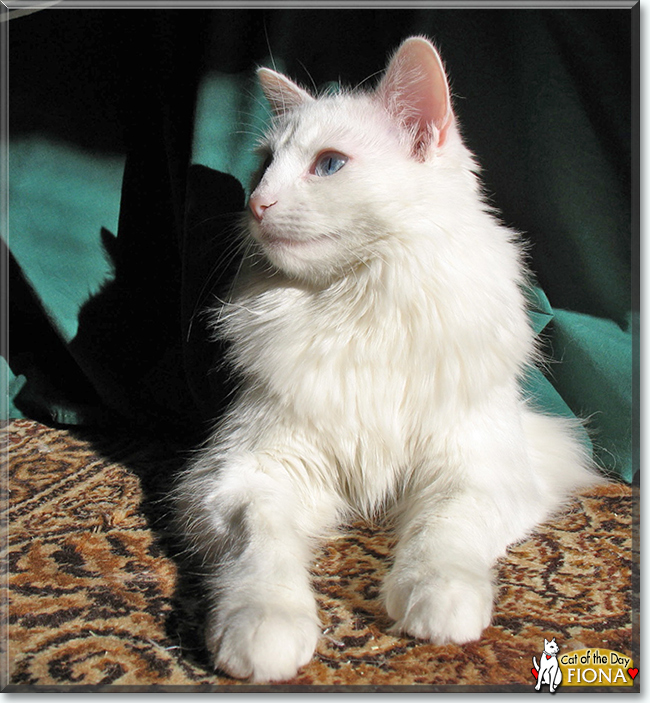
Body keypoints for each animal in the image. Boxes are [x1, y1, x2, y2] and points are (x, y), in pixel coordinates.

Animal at [176, 37, 596, 680]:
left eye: (329, 165)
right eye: (264, 164)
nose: (256, 203)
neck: (358, 305)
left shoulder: (475, 468)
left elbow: (443, 535)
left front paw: (438, 604)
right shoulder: (246, 475)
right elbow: (262, 554)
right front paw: (263, 630)